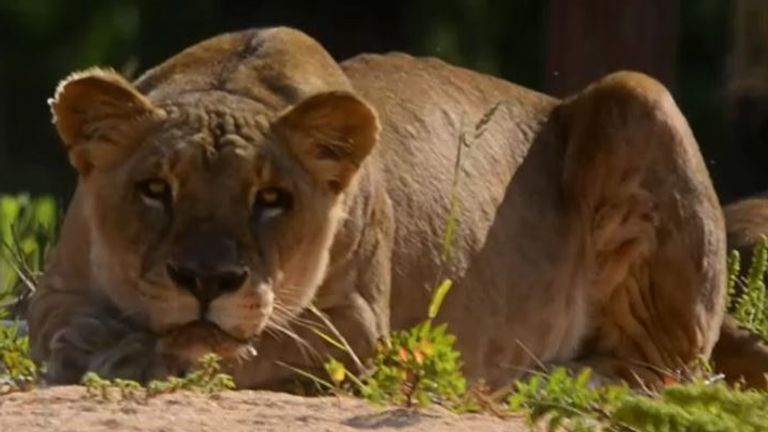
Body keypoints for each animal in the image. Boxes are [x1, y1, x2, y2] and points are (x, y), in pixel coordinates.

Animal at [28, 27, 730, 390]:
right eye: (155, 189)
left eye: (271, 201)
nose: (206, 280)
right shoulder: (53, 290)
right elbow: (62, 323)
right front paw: (94, 340)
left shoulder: (358, 327)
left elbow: (245, 346)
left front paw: (134, 354)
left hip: (640, 95)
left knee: (667, 370)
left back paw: (538, 378)